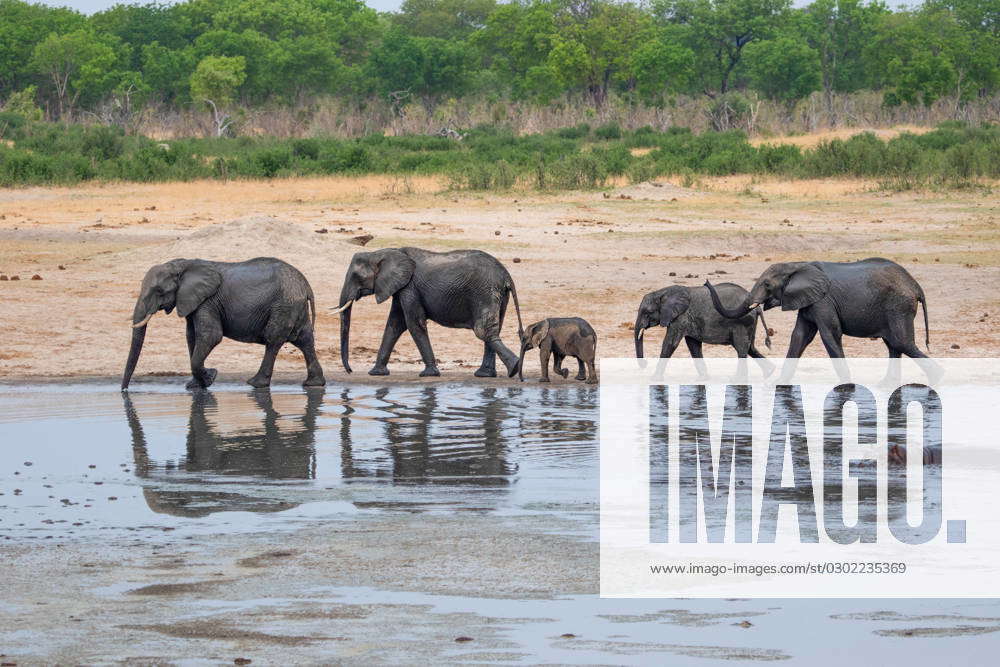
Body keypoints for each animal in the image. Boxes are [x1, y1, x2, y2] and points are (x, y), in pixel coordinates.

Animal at [120, 258, 324, 392]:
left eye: (159, 291)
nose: (124, 391)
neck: (182, 265)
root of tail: (306, 285)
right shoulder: (193, 301)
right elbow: (191, 336)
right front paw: (196, 386)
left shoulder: (207, 301)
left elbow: (211, 335)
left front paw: (210, 377)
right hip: (293, 305)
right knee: (305, 339)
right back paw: (313, 384)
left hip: (284, 305)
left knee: (273, 340)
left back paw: (255, 384)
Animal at [334, 248, 524, 378]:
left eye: (356, 276)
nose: (350, 371)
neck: (383, 252)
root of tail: (506, 275)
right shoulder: (401, 288)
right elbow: (394, 325)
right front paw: (376, 373)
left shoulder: (410, 288)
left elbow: (413, 324)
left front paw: (429, 374)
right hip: (497, 295)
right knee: (492, 331)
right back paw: (486, 374)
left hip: (484, 292)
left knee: (483, 330)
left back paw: (513, 368)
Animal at [632, 282, 772, 370]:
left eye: (647, 313)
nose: (645, 363)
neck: (662, 292)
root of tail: (757, 307)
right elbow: (693, 346)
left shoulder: (681, 317)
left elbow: (670, 344)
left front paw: (654, 379)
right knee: (751, 348)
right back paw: (770, 373)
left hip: (742, 323)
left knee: (742, 349)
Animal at [704, 256, 928, 360]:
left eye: (767, 284)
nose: (706, 281)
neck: (796, 264)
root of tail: (916, 286)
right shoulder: (808, 301)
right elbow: (799, 336)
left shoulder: (823, 301)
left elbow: (830, 334)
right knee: (895, 347)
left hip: (898, 307)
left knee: (901, 343)